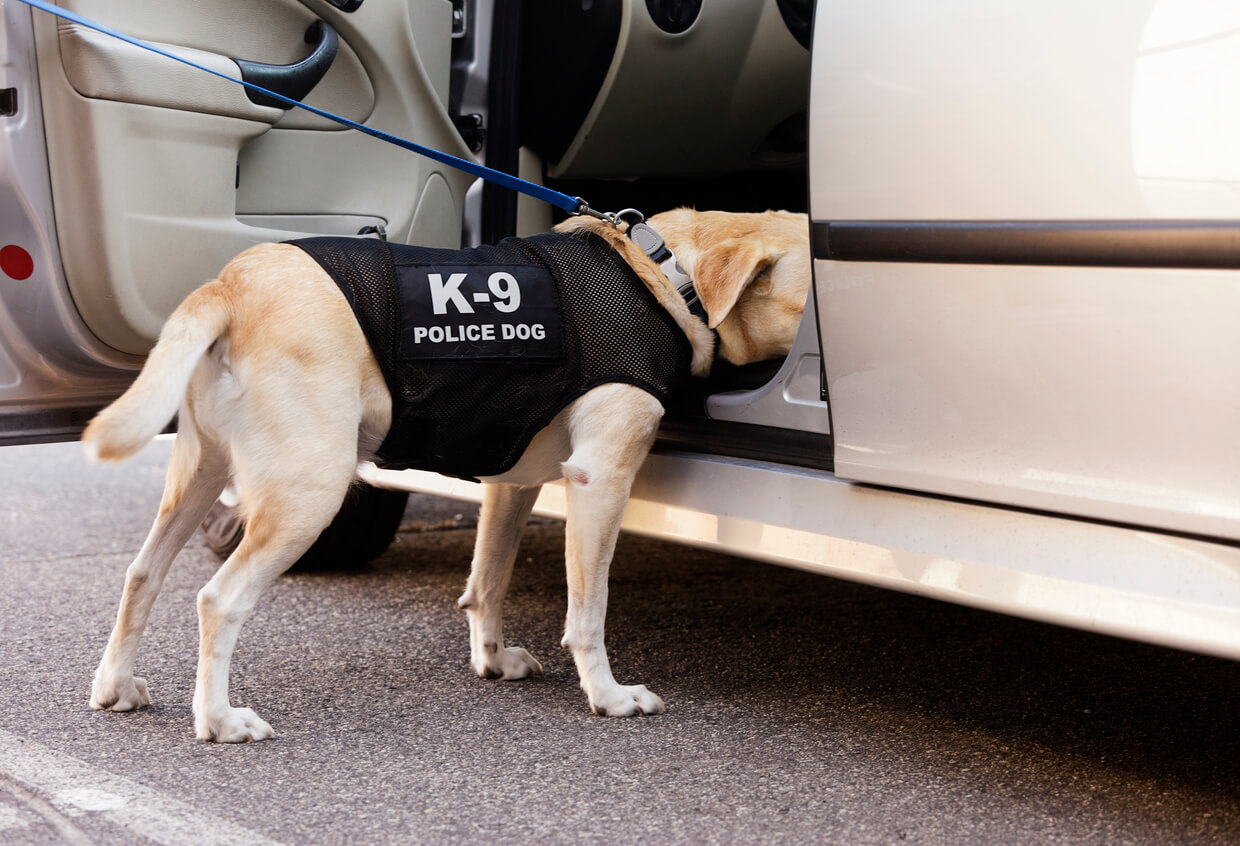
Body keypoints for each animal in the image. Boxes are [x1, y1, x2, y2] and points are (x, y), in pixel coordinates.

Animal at [79, 210, 813, 739]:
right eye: (808, 305)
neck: (662, 270)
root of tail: (233, 283)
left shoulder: (512, 480)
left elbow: (489, 578)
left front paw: (491, 658)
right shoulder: (600, 478)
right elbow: (589, 610)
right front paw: (607, 695)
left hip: (200, 475)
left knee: (141, 574)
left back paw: (115, 685)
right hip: (310, 491)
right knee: (218, 599)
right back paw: (217, 720)